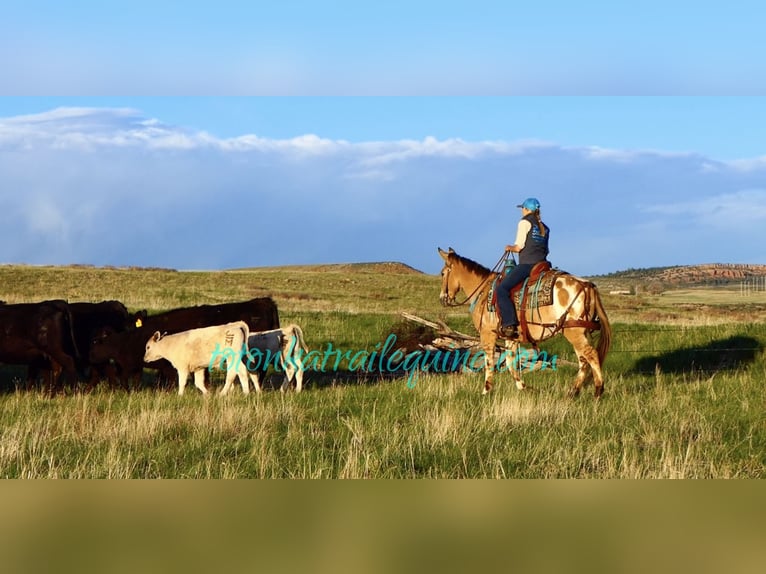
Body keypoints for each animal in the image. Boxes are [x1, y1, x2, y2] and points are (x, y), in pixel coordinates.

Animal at [440, 248, 616, 400]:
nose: (442, 298)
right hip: (579, 331)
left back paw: (598, 391)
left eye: (442, 273)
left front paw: (486, 391)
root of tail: (587, 285)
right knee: (583, 361)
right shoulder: (510, 337)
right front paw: (524, 388)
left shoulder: (487, 334)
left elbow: (489, 361)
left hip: (574, 332)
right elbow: (511, 363)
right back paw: (573, 392)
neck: (483, 291)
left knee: (591, 355)